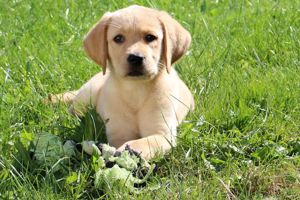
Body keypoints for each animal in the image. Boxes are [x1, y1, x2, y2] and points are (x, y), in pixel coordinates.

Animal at [49, 5, 195, 159]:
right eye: (118, 38)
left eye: (150, 37)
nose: (135, 58)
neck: (136, 90)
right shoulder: (119, 133)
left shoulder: (162, 133)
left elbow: (144, 142)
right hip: (85, 98)